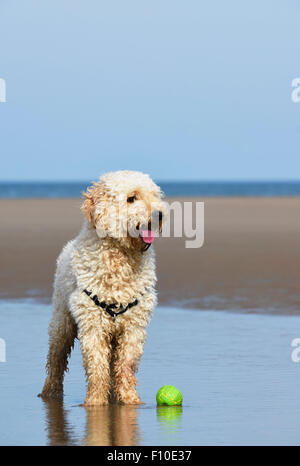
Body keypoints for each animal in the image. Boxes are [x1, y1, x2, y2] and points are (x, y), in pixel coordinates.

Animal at [39, 170, 166, 404]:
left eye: (155, 195)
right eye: (131, 198)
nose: (160, 215)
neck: (119, 258)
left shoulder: (133, 327)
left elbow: (125, 366)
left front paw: (130, 400)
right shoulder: (93, 326)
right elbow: (97, 367)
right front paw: (95, 403)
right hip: (62, 322)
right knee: (56, 359)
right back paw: (50, 392)